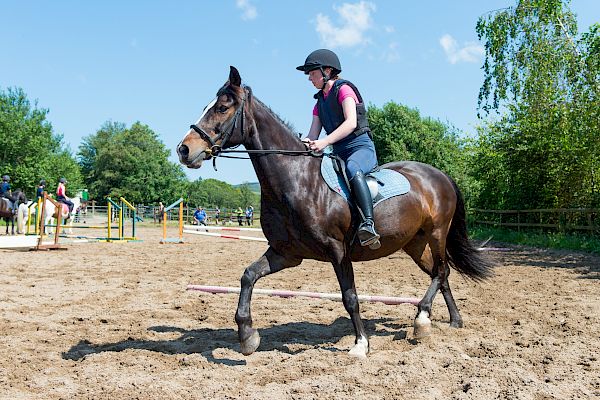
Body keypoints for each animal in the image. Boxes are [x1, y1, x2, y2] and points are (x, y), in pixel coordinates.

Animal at [175, 67, 492, 358]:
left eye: (222, 107)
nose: (184, 149)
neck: (297, 180)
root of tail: (440, 175)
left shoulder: (338, 251)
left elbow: (349, 297)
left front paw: (361, 344)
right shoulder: (286, 253)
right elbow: (248, 276)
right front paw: (247, 335)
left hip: (437, 232)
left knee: (441, 270)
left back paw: (422, 318)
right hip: (415, 243)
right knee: (442, 274)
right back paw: (452, 321)